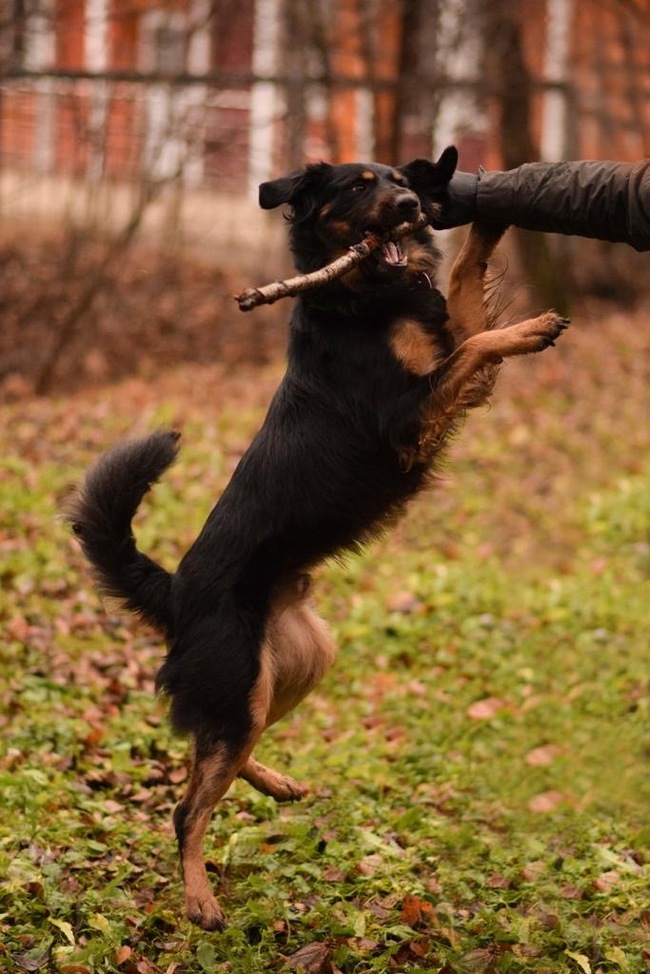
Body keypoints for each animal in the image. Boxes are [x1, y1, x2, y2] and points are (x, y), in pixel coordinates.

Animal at [67, 145, 568, 932]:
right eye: (362, 188)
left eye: (401, 181)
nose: (413, 207)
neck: (363, 297)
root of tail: (175, 592)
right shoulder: (408, 417)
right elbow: (483, 339)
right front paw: (533, 326)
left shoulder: (449, 360)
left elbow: (465, 288)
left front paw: (488, 215)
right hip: (242, 680)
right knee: (187, 807)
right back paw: (199, 898)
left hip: (293, 668)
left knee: (218, 751)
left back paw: (276, 784)